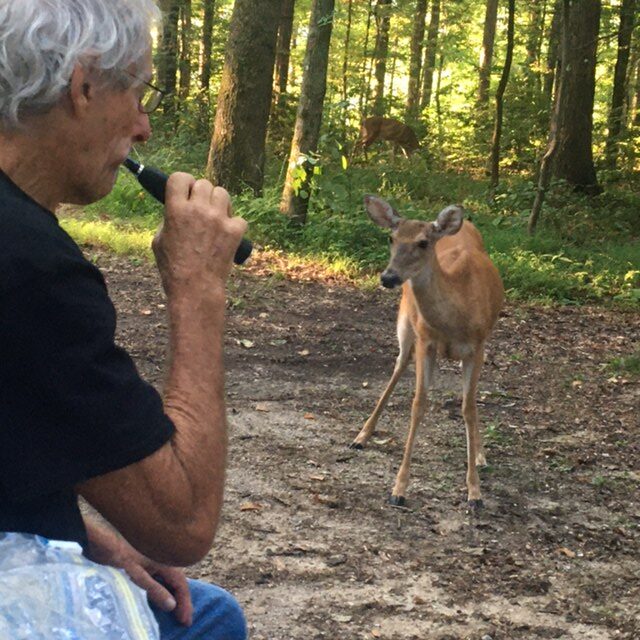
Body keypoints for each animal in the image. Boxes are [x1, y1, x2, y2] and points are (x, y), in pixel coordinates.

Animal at [350, 195, 504, 510]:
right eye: (391, 237)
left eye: (423, 242)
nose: (389, 277)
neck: (455, 316)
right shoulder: (425, 342)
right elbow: (418, 404)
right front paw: (399, 488)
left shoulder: (477, 347)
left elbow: (468, 408)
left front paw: (474, 492)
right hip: (405, 323)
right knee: (398, 366)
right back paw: (361, 435)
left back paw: (480, 455)